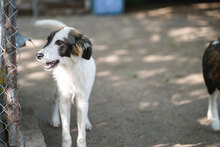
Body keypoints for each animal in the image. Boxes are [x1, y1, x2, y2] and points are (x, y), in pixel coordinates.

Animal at [35, 19, 95, 147]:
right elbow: (66, 135)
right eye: (48, 40)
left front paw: (84, 126)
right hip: (57, 88)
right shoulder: (65, 101)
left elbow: (81, 136)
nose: (38, 55)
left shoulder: (82, 101)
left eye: (59, 42)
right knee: (55, 100)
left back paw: (87, 122)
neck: (71, 69)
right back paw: (55, 120)